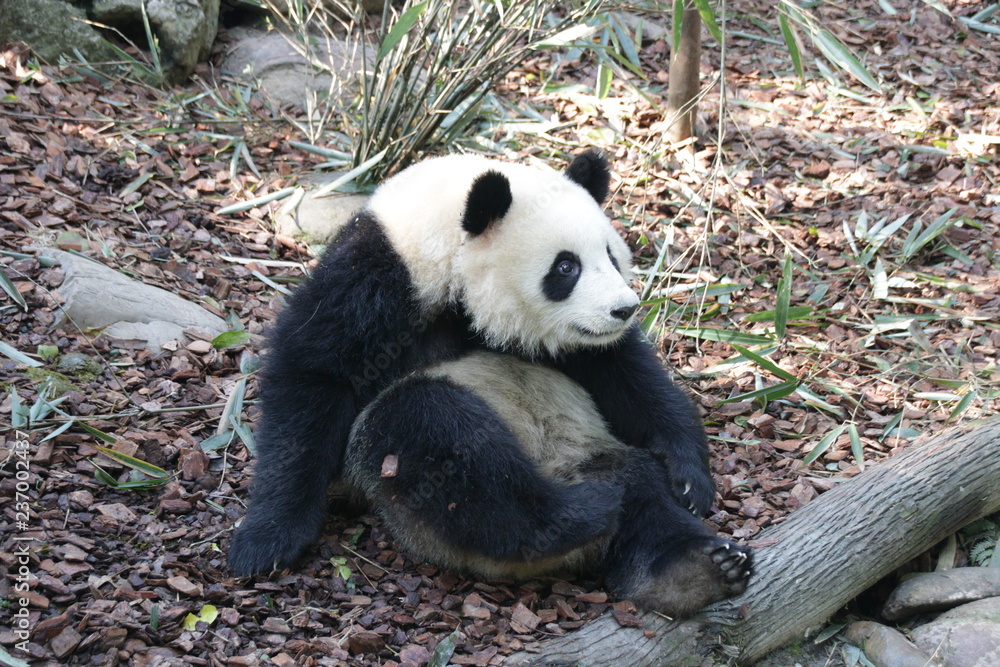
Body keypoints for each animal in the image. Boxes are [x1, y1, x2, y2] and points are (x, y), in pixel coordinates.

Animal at [228, 150, 752, 617]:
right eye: (566, 267)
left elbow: (629, 378)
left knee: (641, 489)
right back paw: (574, 516)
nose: (624, 309)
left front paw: (689, 478)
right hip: (410, 504)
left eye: (611, 256)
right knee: (439, 436)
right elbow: (313, 378)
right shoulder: (378, 277)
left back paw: (694, 571)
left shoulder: (583, 346)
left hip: (590, 449)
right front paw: (267, 539)